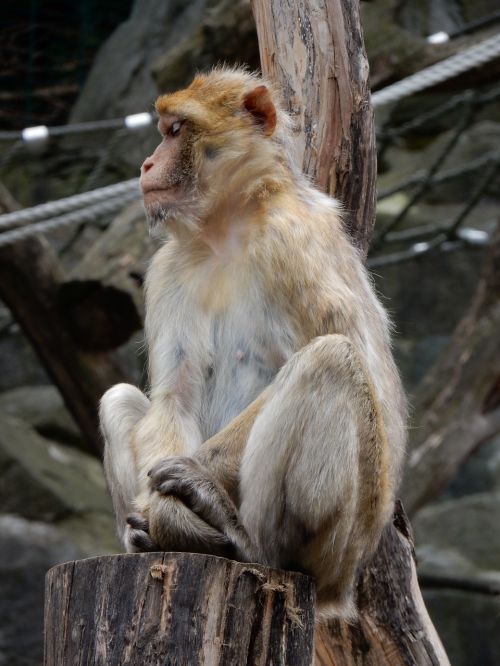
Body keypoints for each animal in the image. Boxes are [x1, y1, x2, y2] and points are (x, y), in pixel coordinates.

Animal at [98, 66, 406, 616]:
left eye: (175, 130)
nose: (147, 162)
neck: (228, 227)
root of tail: (343, 586)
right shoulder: (169, 268)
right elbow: (174, 398)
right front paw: (160, 516)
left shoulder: (292, 243)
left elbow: (355, 356)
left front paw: (185, 492)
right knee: (117, 398)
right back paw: (147, 539)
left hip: (343, 539)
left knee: (330, 360)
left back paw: (246, 540)